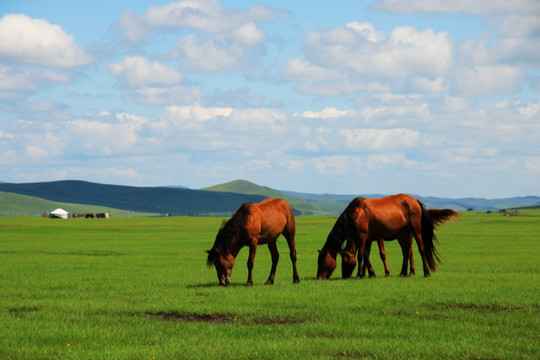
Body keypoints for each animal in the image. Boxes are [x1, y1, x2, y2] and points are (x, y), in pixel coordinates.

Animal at [316, 195, 460, 280]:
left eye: (322, 261)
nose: (319, 277)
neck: (356, 213)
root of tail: (415, 201)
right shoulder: (366, 238)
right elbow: (366, 255)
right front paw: (370, 274)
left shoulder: (362, 236)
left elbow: (361, 256)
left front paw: (359, 275)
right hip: (403, 234)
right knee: (406, 252)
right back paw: (403, 273)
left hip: (415, 231)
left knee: (421, 249)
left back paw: (426, 272)